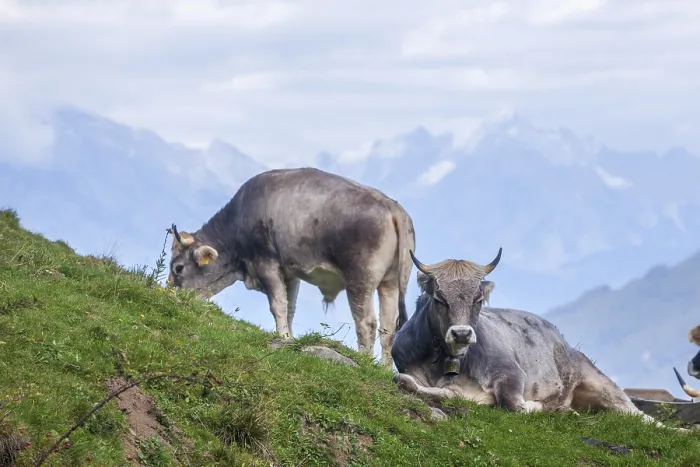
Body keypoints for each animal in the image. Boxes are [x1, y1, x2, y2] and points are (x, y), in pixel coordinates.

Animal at [166, 167, 416, 368]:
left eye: (178, 268)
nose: (169, 293)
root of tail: (392, 206)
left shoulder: (266, 263)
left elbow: (278, 305)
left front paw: (283, 337)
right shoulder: (290, 273)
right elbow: (290, 308)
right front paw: (291, 339)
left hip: (360, 279)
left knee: (367, 323)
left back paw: (364, 360)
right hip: (390, 283)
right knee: (389, 329)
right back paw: (383, 369)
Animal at [390, 249, 682, 431]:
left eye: (478, 300)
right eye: (439, 299)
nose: (462, 333)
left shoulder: (510, 373)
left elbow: (514, 404)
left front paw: (542, 407)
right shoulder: (415, 372)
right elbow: (409, 383)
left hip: (597, 379)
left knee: (639, 415)